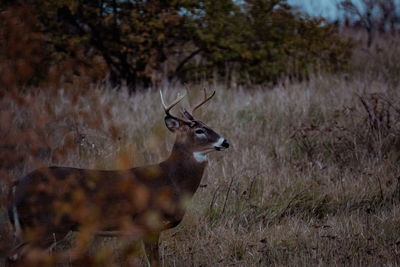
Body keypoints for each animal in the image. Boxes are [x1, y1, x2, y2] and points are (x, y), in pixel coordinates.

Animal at [6, 89, 230, 266]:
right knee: (15, 256)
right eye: (199, 130)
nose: (225, 142)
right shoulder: (147, 223)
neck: (171, 180)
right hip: (46, 225)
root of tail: (16, 187)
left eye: (207, 125)